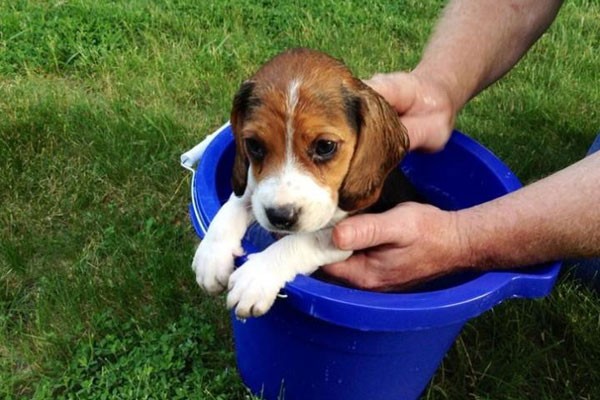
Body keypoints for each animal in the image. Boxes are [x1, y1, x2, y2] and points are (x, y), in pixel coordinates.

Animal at [191, 48, 418, 318]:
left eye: (325, 146)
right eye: (254, 145)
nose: (279, 216)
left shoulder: (346, 233)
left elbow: (303, 240)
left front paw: (257, 275)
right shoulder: (254, 188)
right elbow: (238, 201)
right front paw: (211, 254)